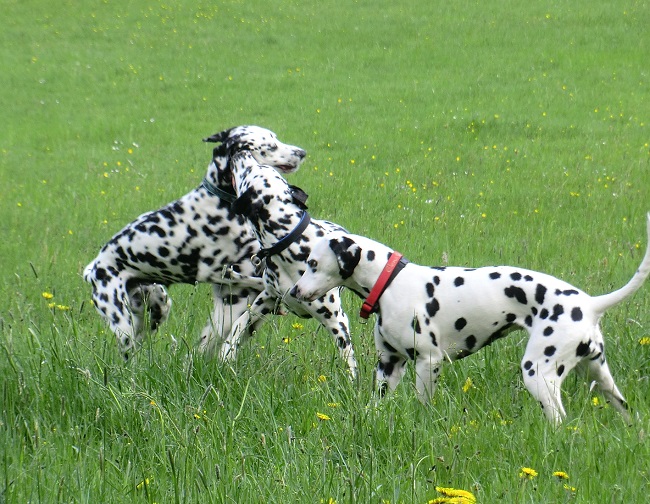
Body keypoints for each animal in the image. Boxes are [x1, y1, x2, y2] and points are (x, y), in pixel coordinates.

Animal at [83, 126, 306, 359]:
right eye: (270, 146)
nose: (301, 153)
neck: (221, 203)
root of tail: (93, 269)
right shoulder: (214, 272)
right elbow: (256, 281)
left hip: (158, 305)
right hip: (122, 325)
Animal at [209, 149, 358, 377]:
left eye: (251, 169)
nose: (241, 152)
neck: (291, 244)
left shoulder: (337, 322)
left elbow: (348, 358)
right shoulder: (265, 300)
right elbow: (238, 325)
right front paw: (226, 354)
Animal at [290, 215, 650, 425]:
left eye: (312, 262)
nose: (292, 290)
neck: (390, 281)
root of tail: (589, 304)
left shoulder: (428, 362)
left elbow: (423, 404)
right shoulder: (388, 365)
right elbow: (375, 404)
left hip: (538, 373)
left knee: (559, 419)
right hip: (600, 377)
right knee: (623, 408)